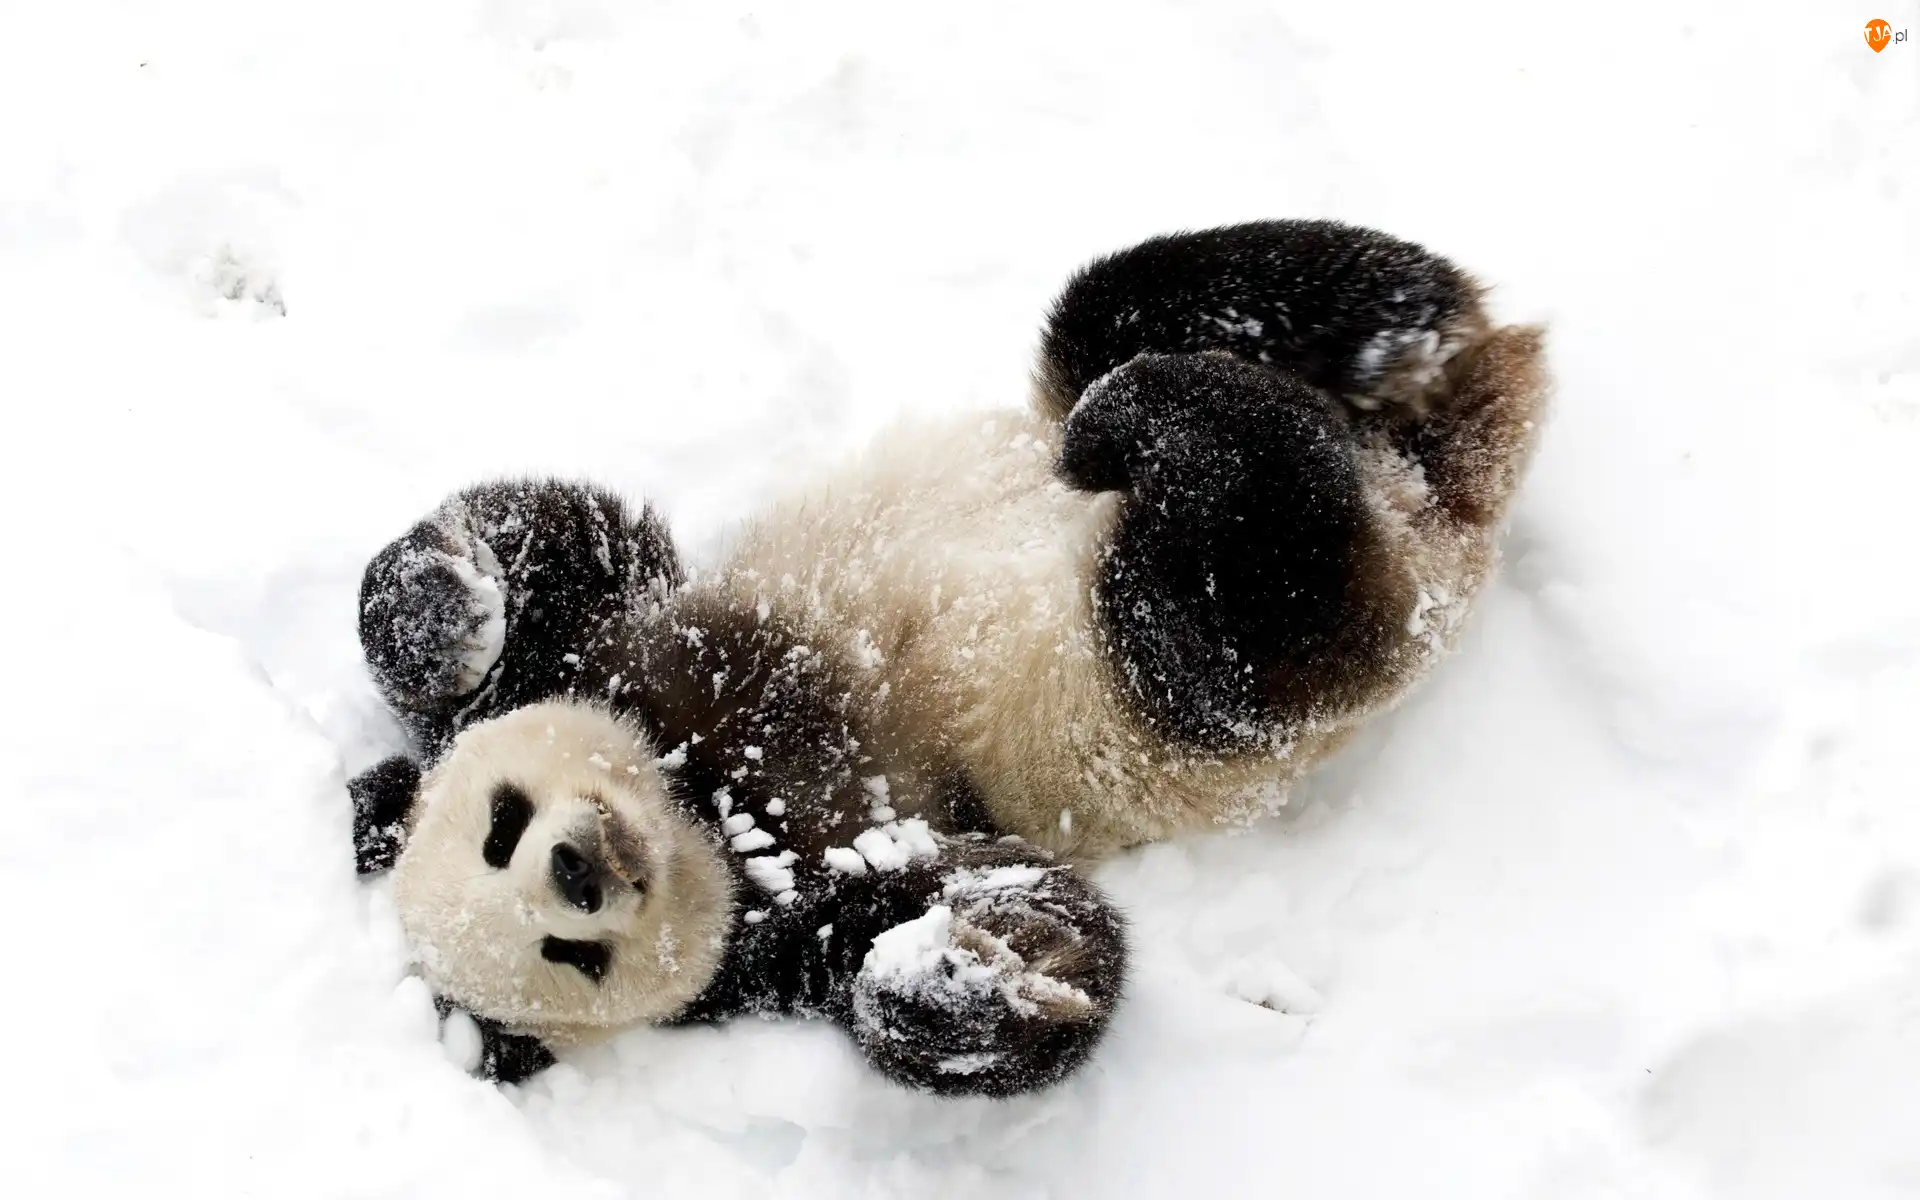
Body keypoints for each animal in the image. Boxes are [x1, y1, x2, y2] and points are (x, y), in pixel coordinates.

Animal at [348, 218, 1549, 1095]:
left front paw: (445, 612)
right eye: (570, 956)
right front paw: (951, 978)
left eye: (501, 826)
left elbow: (556, 540)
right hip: (1191, 680)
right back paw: (1208, 421)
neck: (705, 796)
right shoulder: (803, 906)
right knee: (1245, 592)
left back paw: (1367, 336)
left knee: (1130, 309)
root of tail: (1434, 491)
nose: (578, 871)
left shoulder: (618, 645)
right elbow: (1031, 924)